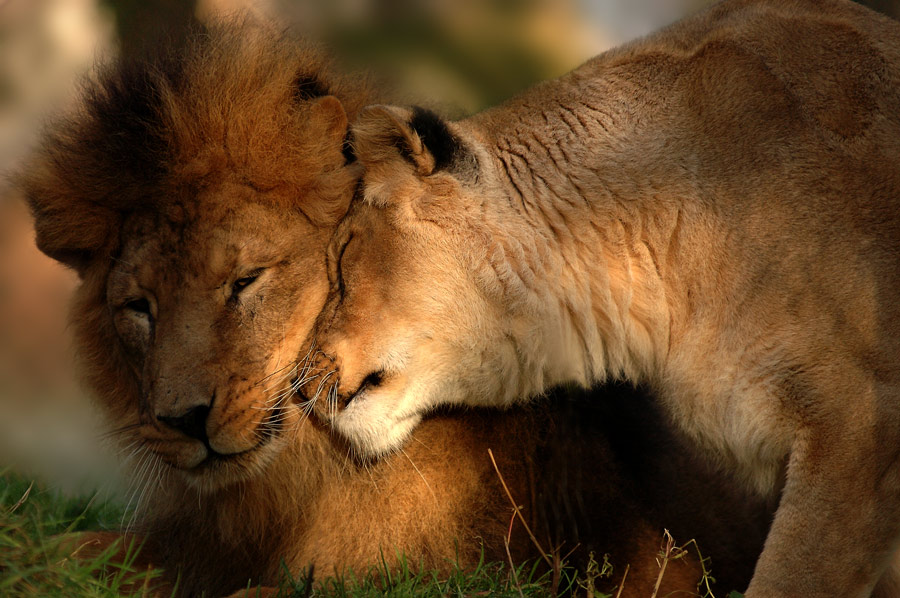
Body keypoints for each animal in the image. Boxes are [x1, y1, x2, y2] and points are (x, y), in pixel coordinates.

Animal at [19, 16, 772, 596]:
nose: (184, 420)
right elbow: (65, 550)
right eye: (138, 307)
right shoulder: (200, 542)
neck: (299, 471)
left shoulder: (447, 572)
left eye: (245, 280)